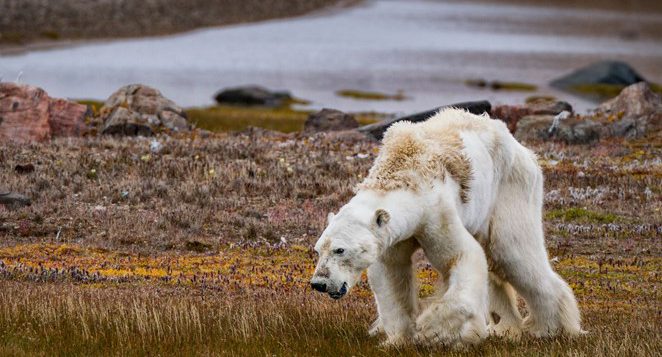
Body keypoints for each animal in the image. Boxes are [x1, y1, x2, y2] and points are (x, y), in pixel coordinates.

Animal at [312, 108, 588, 344]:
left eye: (340, 250)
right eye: (318, 249)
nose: (319, 283)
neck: (403, 172)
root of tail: (524, 150)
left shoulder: (435, 212)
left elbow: (462, 256)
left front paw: (432, 329)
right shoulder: (393, 236)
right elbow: (391, 274)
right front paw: (398, 339)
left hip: (510, 188)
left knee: (513, 253)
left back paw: (550, 328)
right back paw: (504, 327)